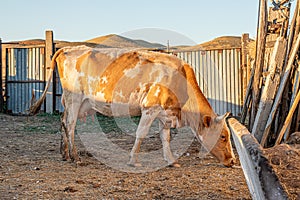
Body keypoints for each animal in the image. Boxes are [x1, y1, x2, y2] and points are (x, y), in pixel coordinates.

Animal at [29, 46, 237, 168]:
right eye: (223, 136)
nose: (233, 160)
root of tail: (70, 47)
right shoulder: (150, 108)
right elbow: (141, 134)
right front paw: (133, 160)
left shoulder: (164, 113)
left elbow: (165, 137)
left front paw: (170, 160)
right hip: (74, 98)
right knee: (70, 125)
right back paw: (75, 157)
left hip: (78, 102)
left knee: (63, 121)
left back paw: (64, 154)